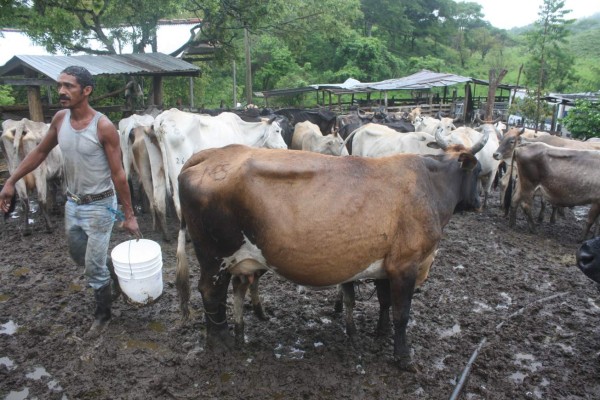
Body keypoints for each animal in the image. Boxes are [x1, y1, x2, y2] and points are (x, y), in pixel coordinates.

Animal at [175, 130, 488, 368]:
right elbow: (402, 313)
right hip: (215, 256)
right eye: (478, 171)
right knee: (210, 292)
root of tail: (212, 154)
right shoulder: (406, 264)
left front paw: (381, 333)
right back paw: (221, 341)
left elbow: (385, 303)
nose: (478, 202)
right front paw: (403, 357)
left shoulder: (387, 265)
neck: (429, 184)